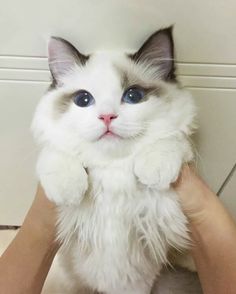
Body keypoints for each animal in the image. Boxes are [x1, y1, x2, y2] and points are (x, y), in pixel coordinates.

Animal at [31, 26, 197, 292]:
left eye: (133, 95)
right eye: (83, 100)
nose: (107, 117)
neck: (112, 170)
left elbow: (172, 139)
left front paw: (156, 167)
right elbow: (55, 151)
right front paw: (66, 188)